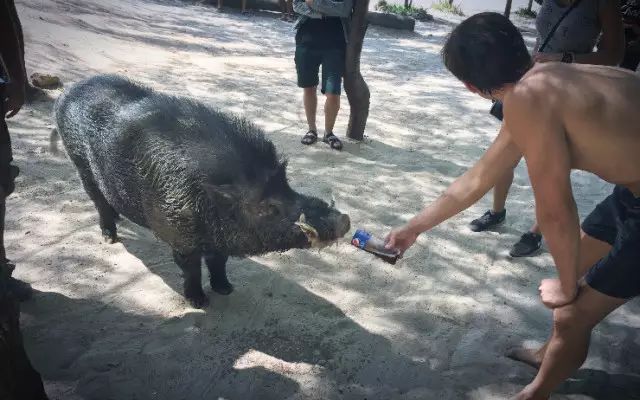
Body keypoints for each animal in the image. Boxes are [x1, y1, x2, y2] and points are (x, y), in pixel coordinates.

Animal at [52, 74, 350, 306]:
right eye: (269, 208)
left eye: (287, 187)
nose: (344, 219)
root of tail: (68, 92)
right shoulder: (179, 236)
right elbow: (192, 270)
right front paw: (199, 302)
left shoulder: (220, 241)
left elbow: (219, 263)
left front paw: (226, 289)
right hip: (80, 164)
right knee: (98, 202)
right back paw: (109, 238)